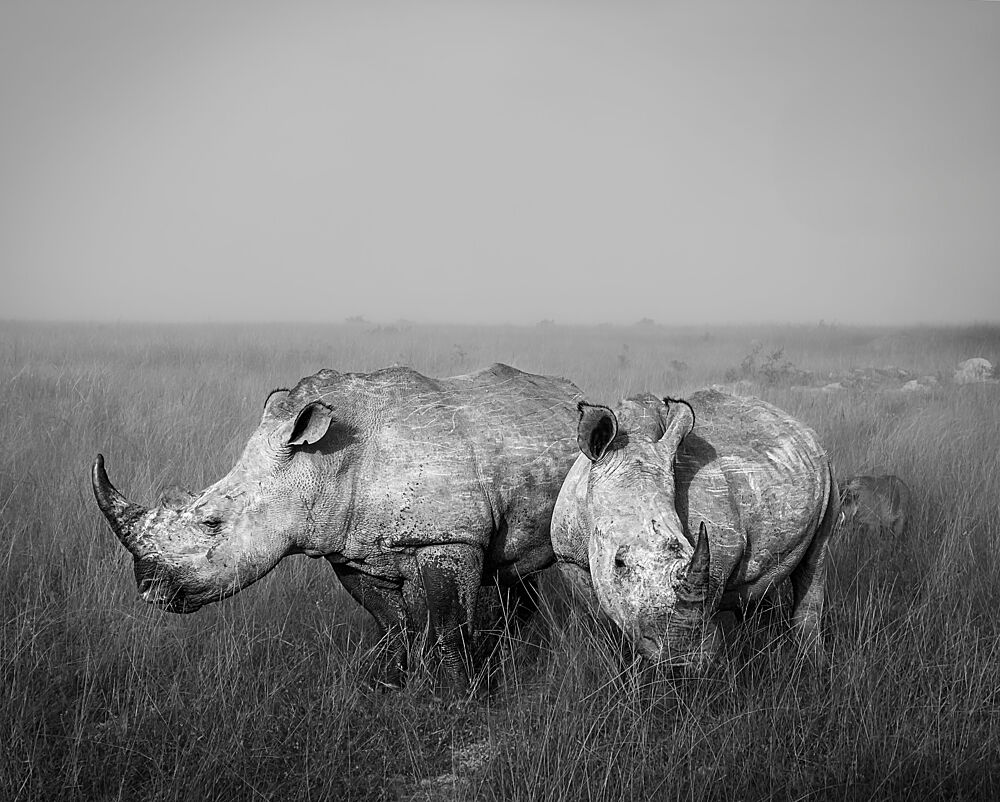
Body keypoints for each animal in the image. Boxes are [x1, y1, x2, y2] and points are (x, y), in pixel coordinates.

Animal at [93, 363, 582, 690]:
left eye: (212, 523)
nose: (148, 589)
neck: (320, 465)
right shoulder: (348, 546)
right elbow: (391, 623)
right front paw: (391, 684)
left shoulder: (449, 537)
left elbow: (448, 626)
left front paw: (459, 698)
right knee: (510, 565)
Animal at [551, 389, 839, 671]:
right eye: (619, 563)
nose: (681, 657)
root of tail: (798, 425)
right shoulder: (568, 557)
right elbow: (600, 622)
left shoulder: (719, 553)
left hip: (827, 473)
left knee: (816, 559)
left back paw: (813, 665)